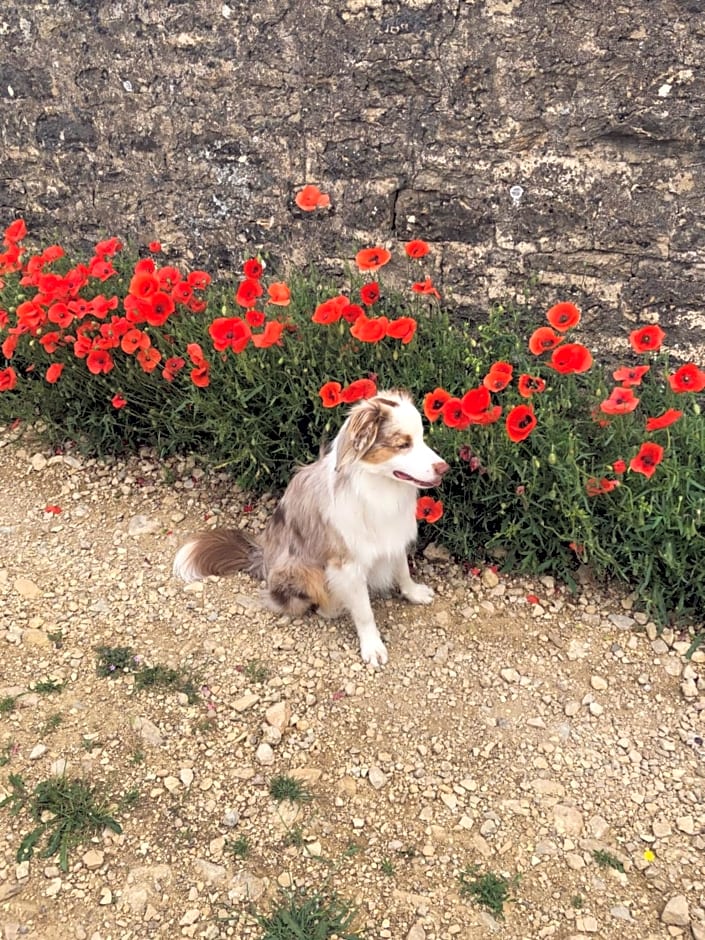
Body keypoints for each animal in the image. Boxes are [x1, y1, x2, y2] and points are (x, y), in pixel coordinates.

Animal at [175, 390, 452, 668]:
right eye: (403, 444)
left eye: (421, 438)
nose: (444, 468)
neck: (378, 487)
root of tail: (262, 557)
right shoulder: (346, 564)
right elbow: (364, 611)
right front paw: (372, 646)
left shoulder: (393, 535)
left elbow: (403, 570)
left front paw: (414, 593)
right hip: (304, 570)